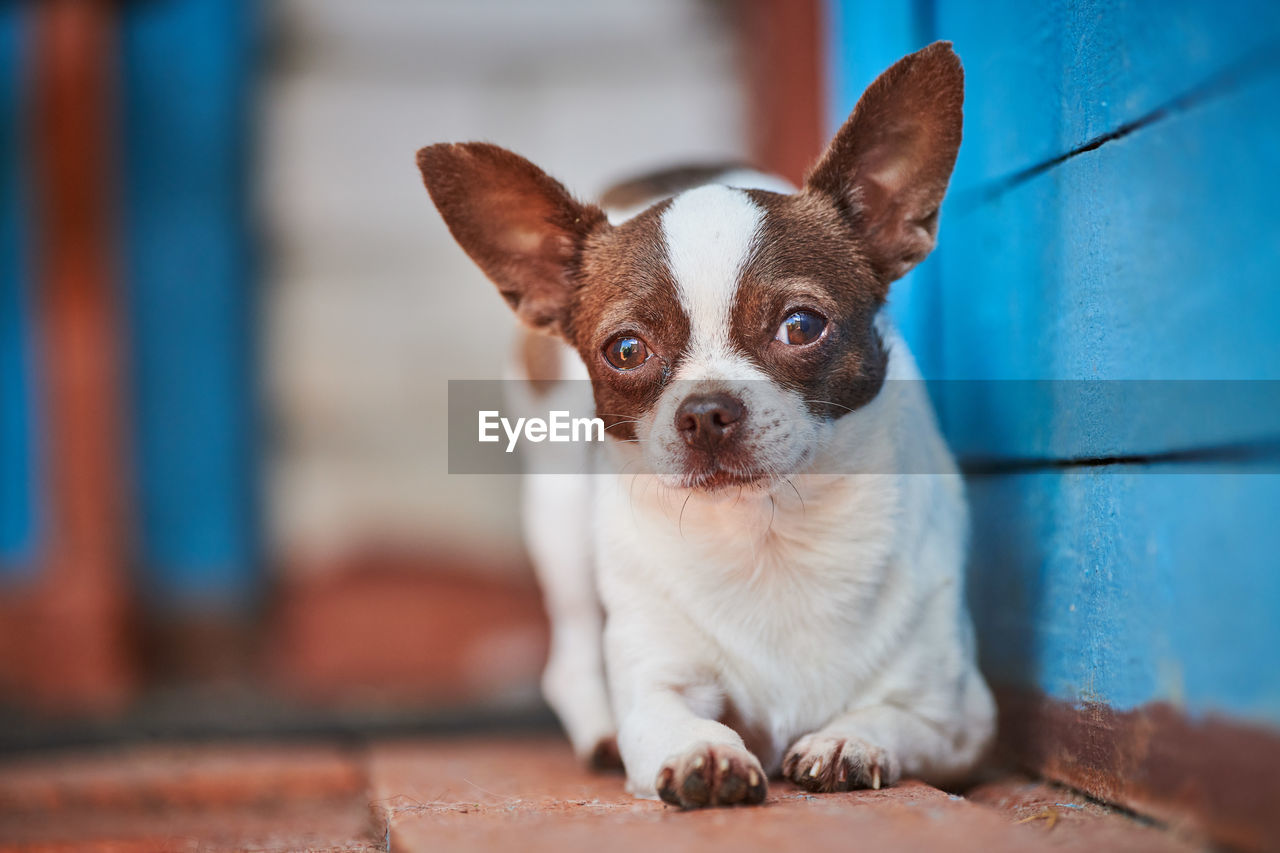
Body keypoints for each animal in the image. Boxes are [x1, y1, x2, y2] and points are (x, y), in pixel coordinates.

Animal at [414, 43, 993, 809]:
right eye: (626, 350)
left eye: (801, 326)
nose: (706, 410)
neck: (768, 536)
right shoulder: (656, 682)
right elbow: (669, 715)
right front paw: (706, 751)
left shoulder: (959, 720)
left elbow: (892, 715)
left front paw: (847, 739)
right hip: (558, 516)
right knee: (571, 650)